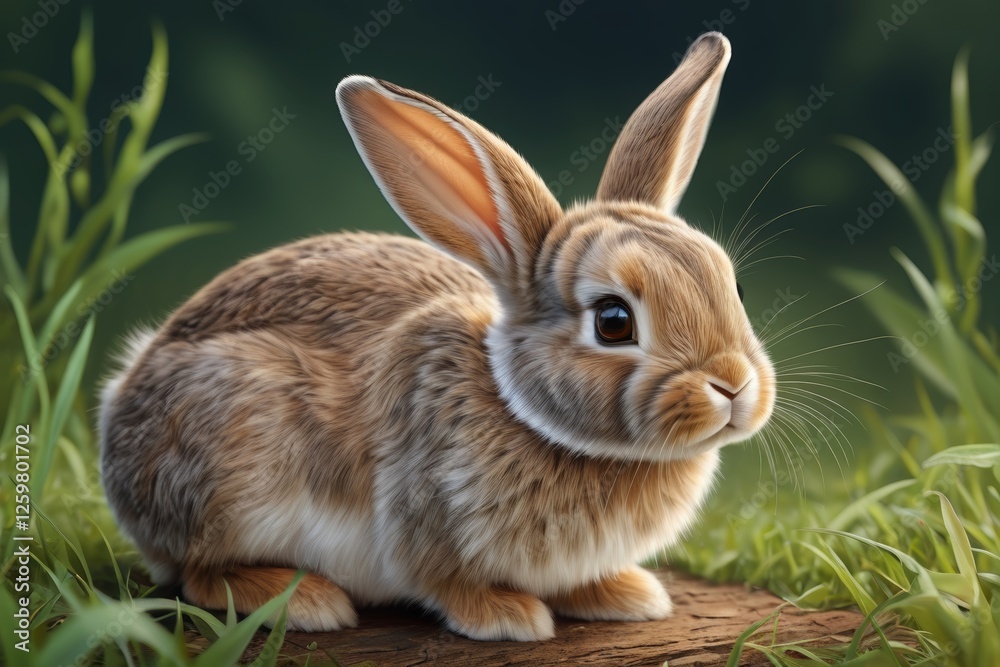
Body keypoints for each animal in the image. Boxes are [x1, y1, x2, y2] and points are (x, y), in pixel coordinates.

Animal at [98, 31, 774, 641]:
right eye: (613, 321)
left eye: (735, 288)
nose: (734, 386)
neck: (530, 415)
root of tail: (119, 412)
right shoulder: (425, 516)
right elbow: (446, 581)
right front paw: (507, 617)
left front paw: (627, 595)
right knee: (197, 572)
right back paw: (304, 600)